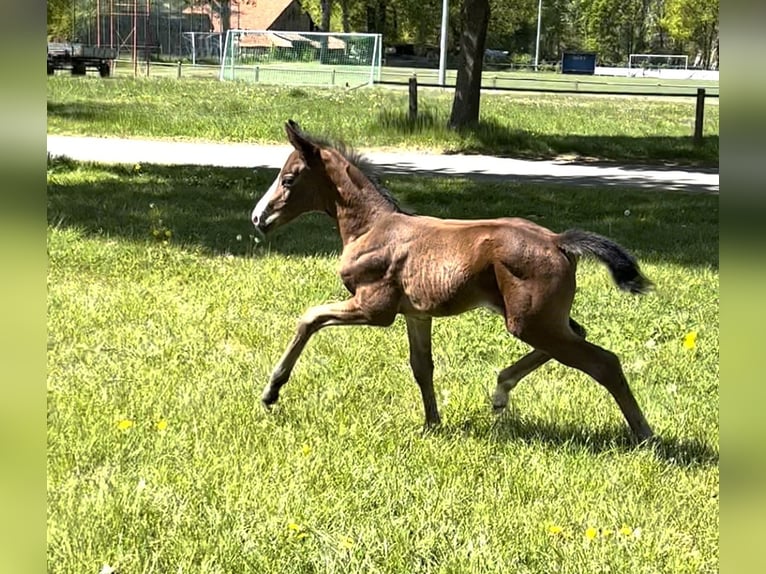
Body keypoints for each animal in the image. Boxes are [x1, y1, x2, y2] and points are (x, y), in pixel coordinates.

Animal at [250, 120, 656, 446]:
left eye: (288, 179)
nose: (258, 218)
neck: (372, 227)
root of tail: (559, 241)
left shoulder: (374, 307)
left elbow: (310, 317)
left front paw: (271, 391)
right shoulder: (416, 314)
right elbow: (421, 366)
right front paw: (432, 423)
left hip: (530, 321)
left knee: (604, 362)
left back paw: (645, 435)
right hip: (539, 318)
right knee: (579, 334)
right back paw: (501, 390)